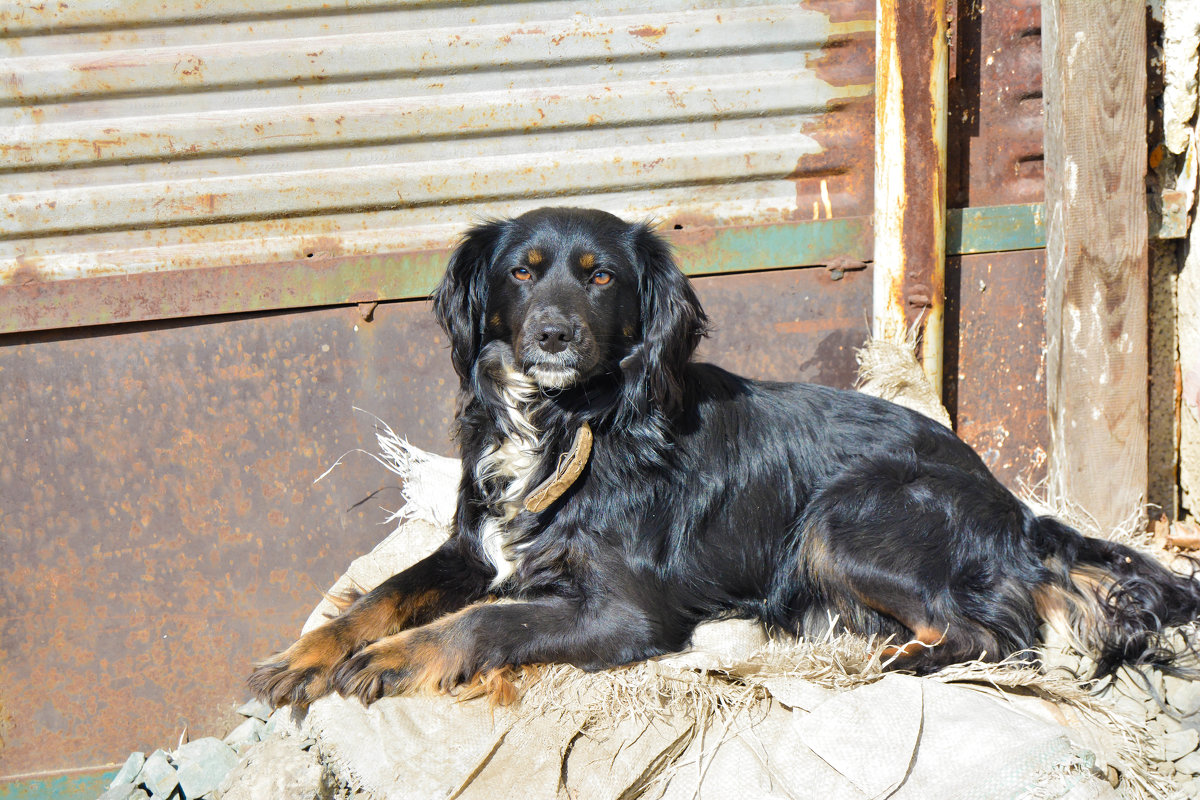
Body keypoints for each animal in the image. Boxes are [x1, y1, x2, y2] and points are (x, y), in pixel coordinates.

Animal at [250, 205, 1200, 705]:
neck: (572, 423)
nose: (553, 335)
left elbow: (484, 621)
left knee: (997, 633)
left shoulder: (626, 614)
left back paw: (888, 660)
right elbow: (379, 594)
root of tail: (1008, 502)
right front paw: (306, 656)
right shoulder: (474, 549)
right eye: (522, 272)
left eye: (599, 276)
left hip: (843, 520)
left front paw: (393, 659)